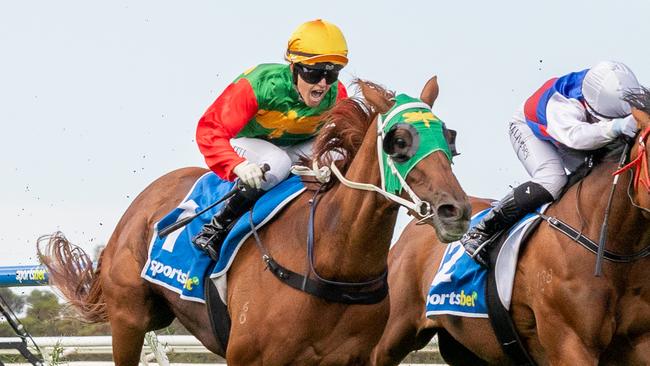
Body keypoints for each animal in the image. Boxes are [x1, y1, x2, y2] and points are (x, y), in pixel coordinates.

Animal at [36, 76, 470, 364]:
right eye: (399, 142)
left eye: (449, 139)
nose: (457, 211)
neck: (332, 261)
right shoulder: (248, 357)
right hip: (128, 318)